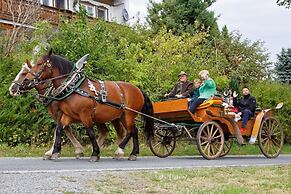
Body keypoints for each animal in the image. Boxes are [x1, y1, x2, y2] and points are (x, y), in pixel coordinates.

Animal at [20, 49, 155, 161]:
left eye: (40, 63)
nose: (25, 81)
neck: (73, 88)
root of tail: (138, 89)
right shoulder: (67, 115)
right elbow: (59, 129)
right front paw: (56, 152)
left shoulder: (84, 115)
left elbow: (90, 132)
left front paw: (95, 153)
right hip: (120, 116)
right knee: (133, 131)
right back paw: (132, 153)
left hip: (128, 114)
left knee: (130, 131)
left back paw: (120, 151)